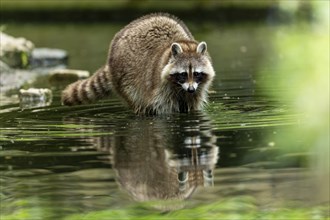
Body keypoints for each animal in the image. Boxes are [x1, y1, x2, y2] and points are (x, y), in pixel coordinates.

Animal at [61, 12, 217, 114]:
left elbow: (192, 106)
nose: (190, 89)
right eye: (183, 74)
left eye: (196, 73)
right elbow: (163, 109)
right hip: (125, 79)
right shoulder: (159, 88)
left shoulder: (198, 88)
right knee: (138, 102)